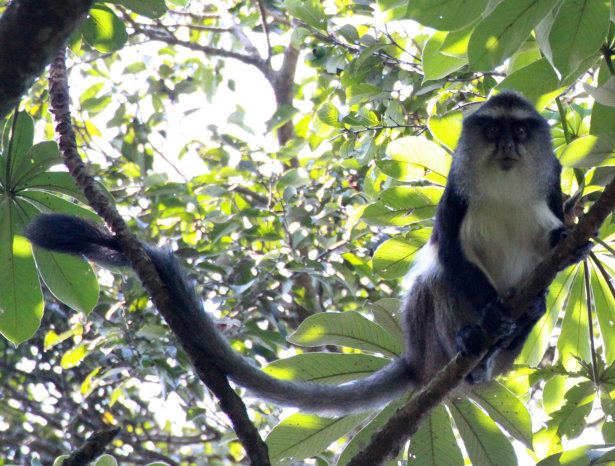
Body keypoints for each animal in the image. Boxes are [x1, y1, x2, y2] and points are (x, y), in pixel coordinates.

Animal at [25, 91, 592, 416]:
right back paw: (473, 343)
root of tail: (414, 360)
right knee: (434, 281)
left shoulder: (552, 186)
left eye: (521, 130)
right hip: (429, 337)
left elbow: (557, 244)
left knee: (524, 309)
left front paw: (566, 252)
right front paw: (491, 314)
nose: (507, 146)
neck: (505, 183)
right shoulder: (455, 194)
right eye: (493, 129)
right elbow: (450, 254)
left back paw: (511, 330)